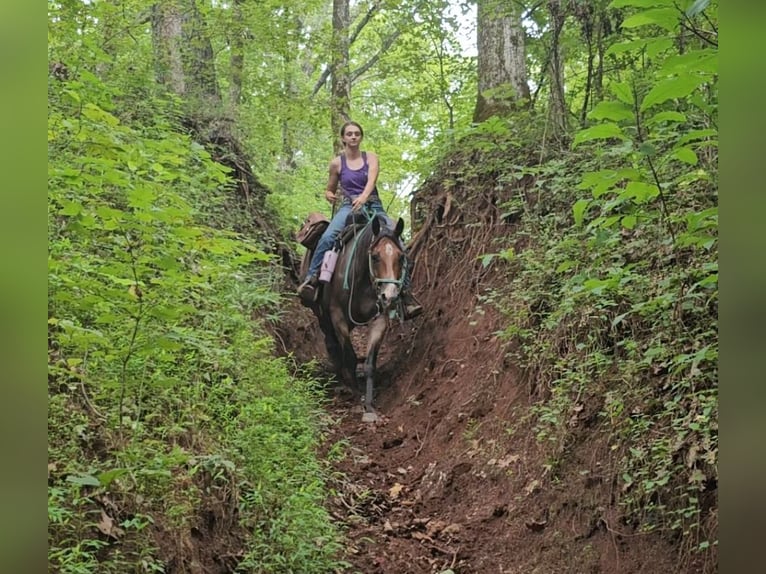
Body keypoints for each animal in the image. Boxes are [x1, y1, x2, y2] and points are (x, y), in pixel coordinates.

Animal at [306, 212, 408, 424]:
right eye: (375, 256)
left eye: (401, 256)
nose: (390, 296)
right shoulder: (337, 317)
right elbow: (350, 358)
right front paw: (356, 396)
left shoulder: (380, 318)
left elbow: (369, 364)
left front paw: (368, 406)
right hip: (322, 316)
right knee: (332, 346)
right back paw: (341, 382)